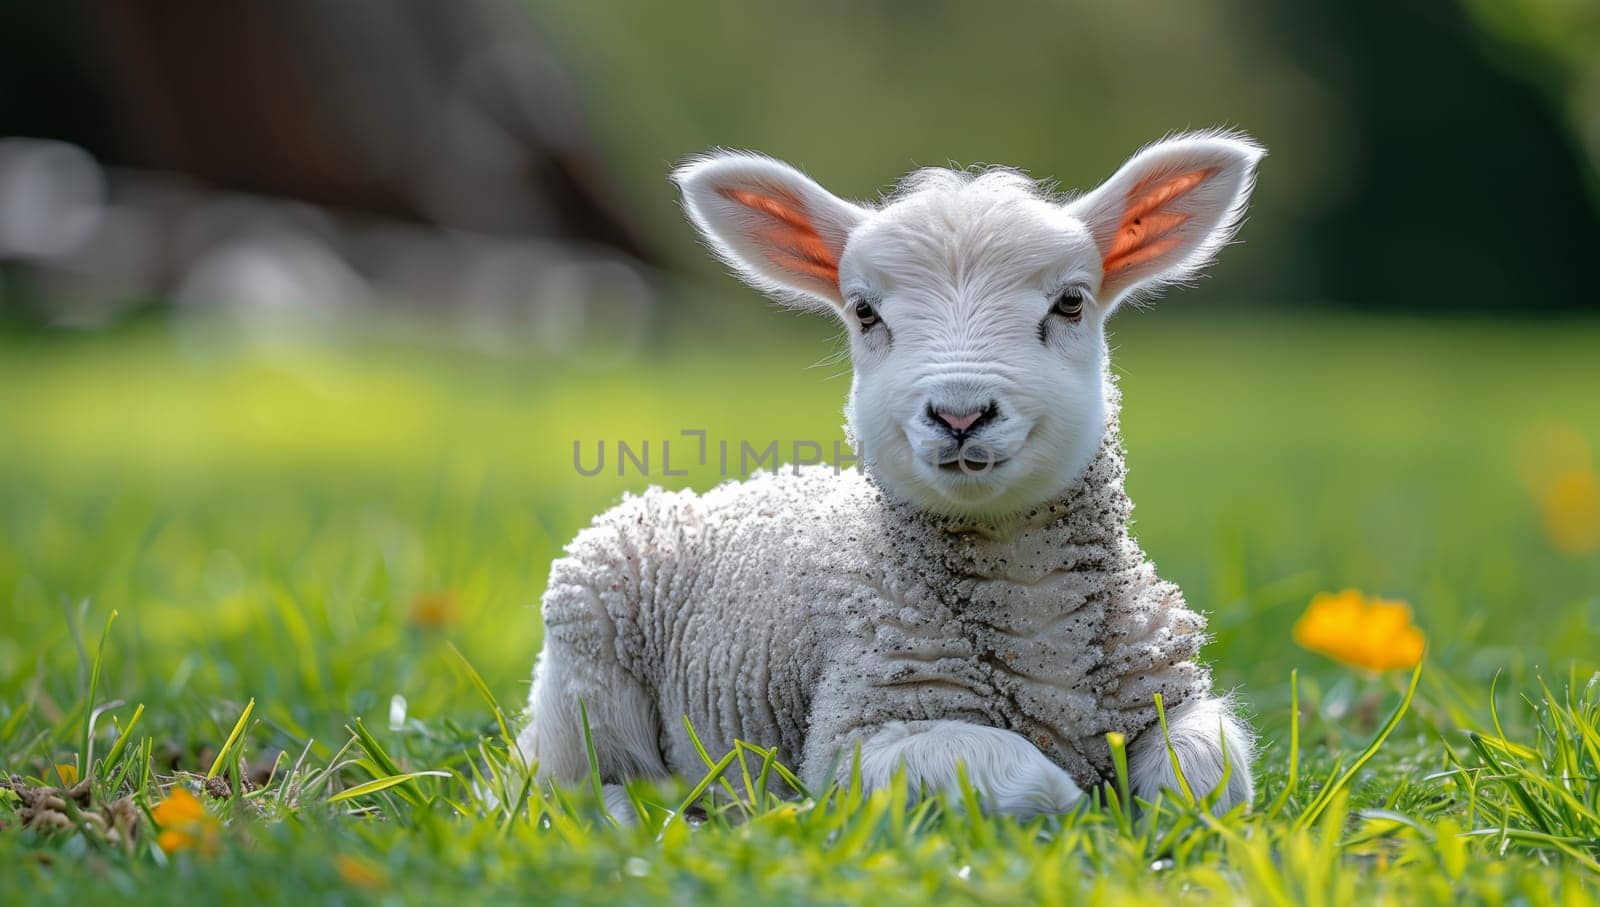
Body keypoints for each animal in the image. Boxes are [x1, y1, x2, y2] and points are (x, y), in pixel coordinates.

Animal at [518, 127, 1267, 815]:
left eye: (1072, 302)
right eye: (864, 311)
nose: (961, 414)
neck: (1032, 607)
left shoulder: (1172, 697)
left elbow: (1206, 778)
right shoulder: (855, 736)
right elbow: (1028, 779)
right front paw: (1084, 804)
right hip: (586, 680)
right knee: (568, 784)